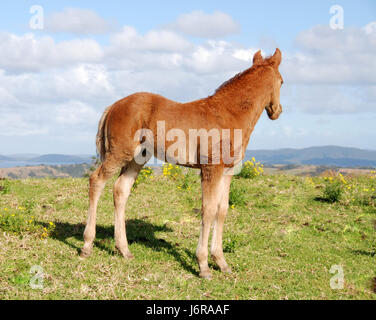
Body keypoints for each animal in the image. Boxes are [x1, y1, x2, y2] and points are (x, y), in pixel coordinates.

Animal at [81, 47, 284, 278]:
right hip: (119, 153)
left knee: (120, 190)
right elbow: (209, 210)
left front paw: (221, 262)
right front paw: (203, 265)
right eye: (282, 81)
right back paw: (87, 245)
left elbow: (222, 210)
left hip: (137, 159)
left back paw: (124, 250)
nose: (277, 111)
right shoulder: (211, 169)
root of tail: (113, 106)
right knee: (96, 180)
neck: (229, 113)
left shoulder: (228, 171)